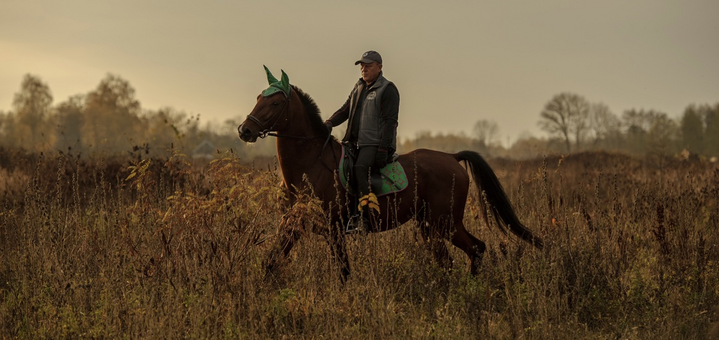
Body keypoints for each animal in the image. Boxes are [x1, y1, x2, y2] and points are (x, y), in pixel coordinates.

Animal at [239, 67, 544, 282]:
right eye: (258, 98)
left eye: (275, 104)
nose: (245, 130)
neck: (310, 164)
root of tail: (452, 157)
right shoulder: (293, 224)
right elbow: (271, 261)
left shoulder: (333, 229)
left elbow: (343, 271)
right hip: (429, 225)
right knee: (456, 257)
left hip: (444, 222)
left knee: (474, 249)